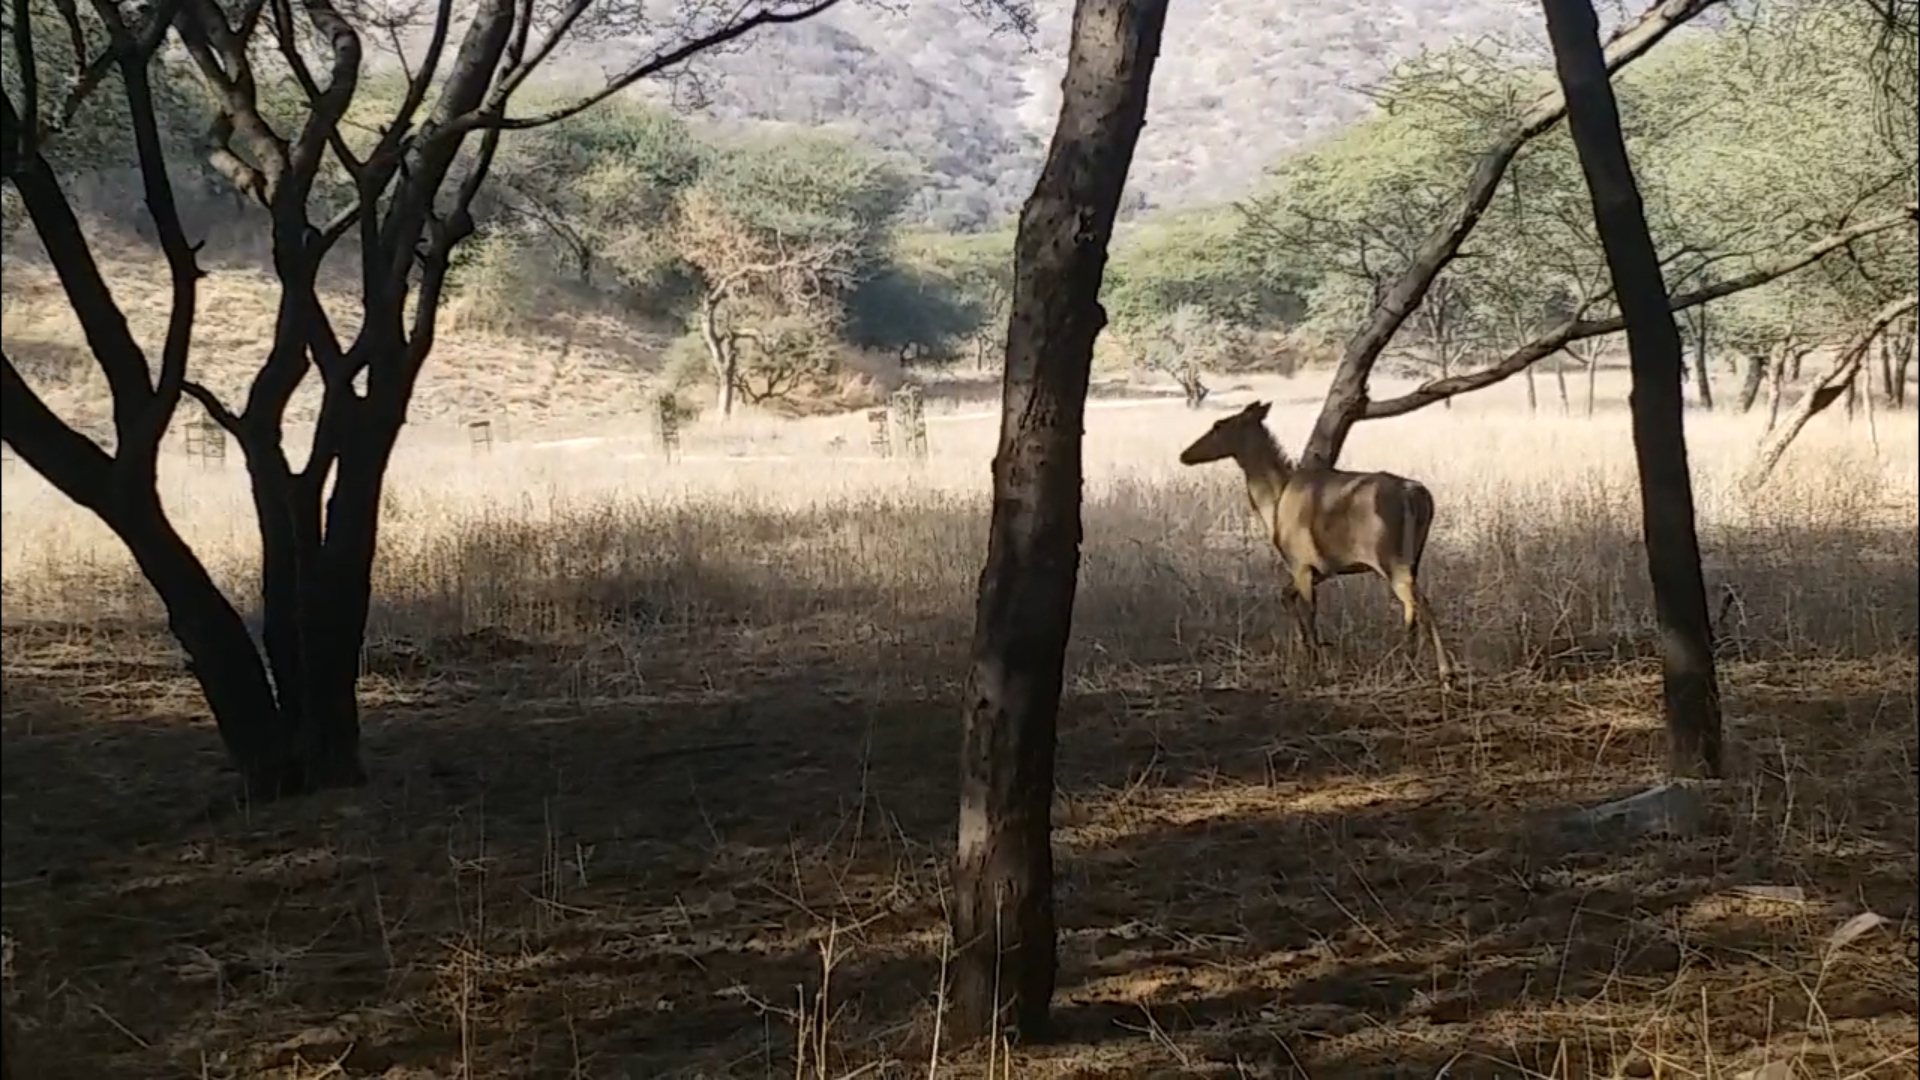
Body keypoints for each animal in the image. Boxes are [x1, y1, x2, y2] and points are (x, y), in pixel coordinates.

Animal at [1167, 399, 1451, 684]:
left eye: (1218, 425)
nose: (1184, 455)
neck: (1274, 503)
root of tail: (1417, 495)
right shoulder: (1323, 567)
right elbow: (1286, 596)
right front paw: (1308, 652)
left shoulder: (1300, 562)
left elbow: (1309, 610)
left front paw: (1315, 665)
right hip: (1413, 556)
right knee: (1412, 604)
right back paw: (1410, 665)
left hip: (1390, 557)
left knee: (1420, 602)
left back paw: (1445, 672)